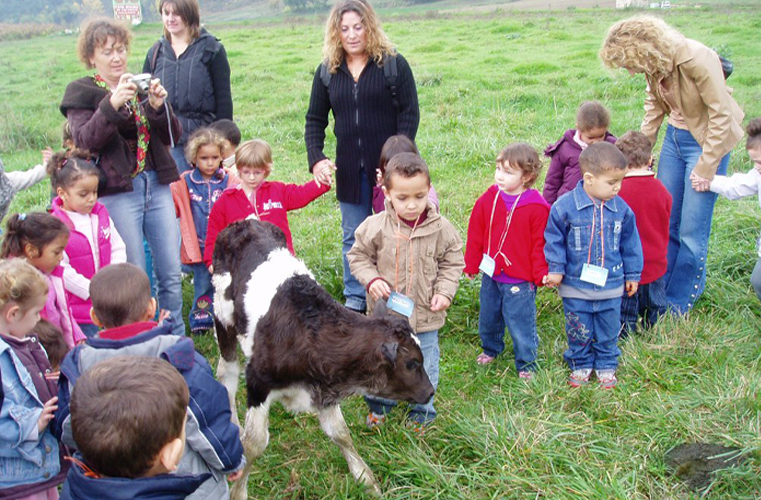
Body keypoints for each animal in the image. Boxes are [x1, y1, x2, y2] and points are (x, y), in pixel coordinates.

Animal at [211, 221, 434, 498]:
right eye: (412, 363)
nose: (431, 391)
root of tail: (245, 223)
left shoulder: (326, 387)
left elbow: (341, 433)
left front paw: (365, 479)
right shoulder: (258, 383)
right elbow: (254, 444)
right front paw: (238, 491)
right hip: (223, 318)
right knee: (227, 374)